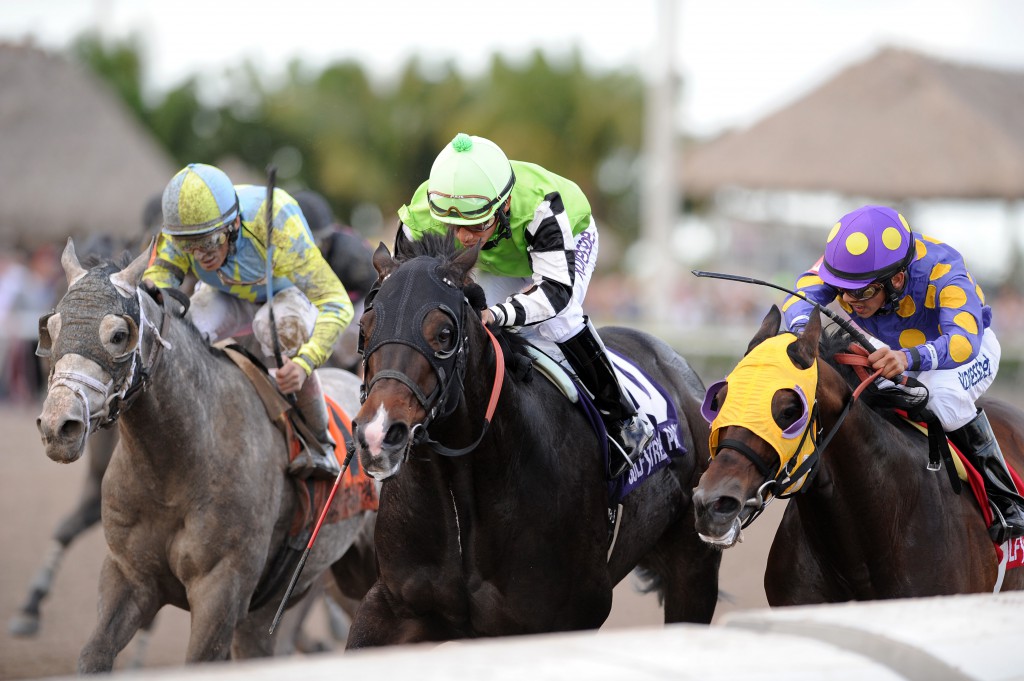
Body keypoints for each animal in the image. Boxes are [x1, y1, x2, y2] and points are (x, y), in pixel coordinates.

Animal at [344, 231, 720, 647]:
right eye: (365, 328)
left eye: (444, 334)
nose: (378, 433)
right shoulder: (393, 605)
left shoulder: (567, 617)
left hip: (694, 563)